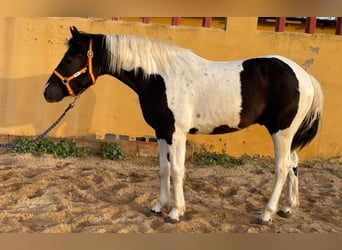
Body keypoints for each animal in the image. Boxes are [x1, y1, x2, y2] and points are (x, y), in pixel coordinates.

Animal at [44, 26, 324, 224]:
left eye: (70, 58)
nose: (48, 92)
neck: (159, 77)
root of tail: (304, 75)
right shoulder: (161, 132)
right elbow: (163, 169)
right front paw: (159, 206)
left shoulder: (177, 133)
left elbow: (177, 170)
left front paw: (176, 212)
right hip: (289, 135)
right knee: (294, 163)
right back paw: (288, 207)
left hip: (282, 132)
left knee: (282, 167)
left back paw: (267, 213)